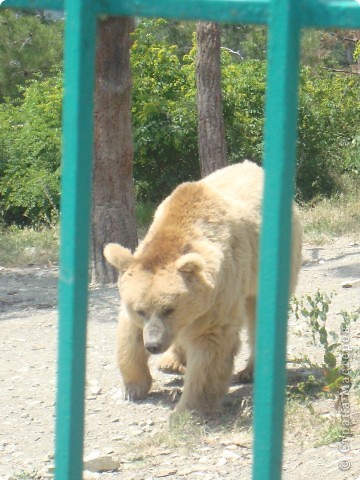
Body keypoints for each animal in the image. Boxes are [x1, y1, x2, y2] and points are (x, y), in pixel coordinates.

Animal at [105, 162, 304, 416]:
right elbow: (129, 334)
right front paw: (133, 388)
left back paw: (250, 371)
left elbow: (209, 347)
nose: (153, 345)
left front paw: (189, 407)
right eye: (141, 310)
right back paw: (172, 361)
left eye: (169, 309)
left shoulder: (220, 290)